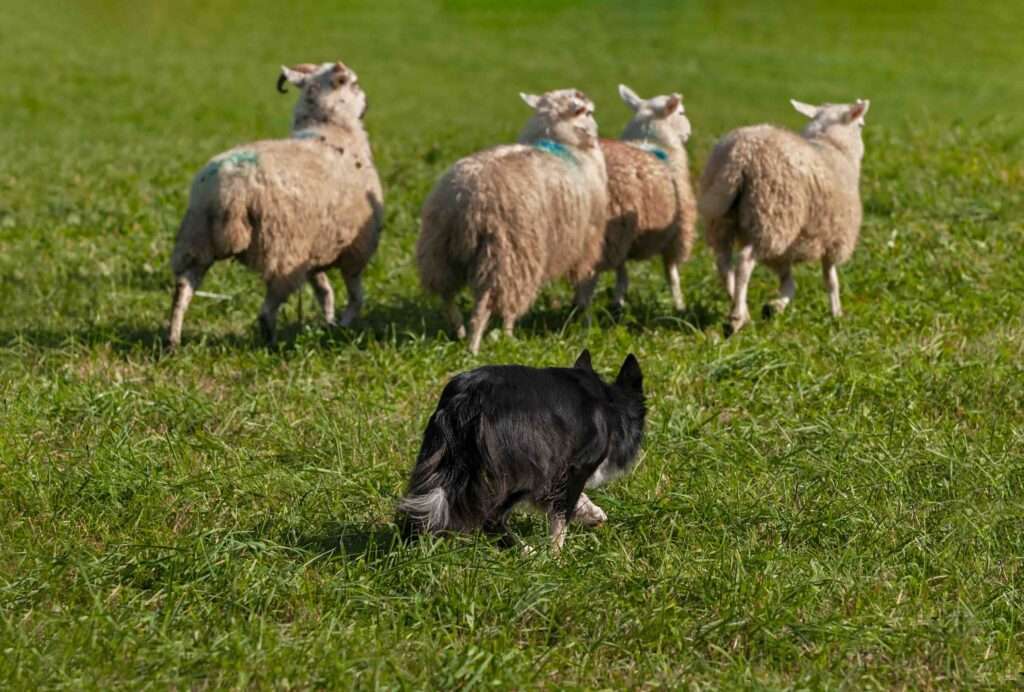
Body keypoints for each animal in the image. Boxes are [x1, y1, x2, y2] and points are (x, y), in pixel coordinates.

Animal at [167, 61, 383, 348]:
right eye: (354, 83)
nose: (368, 101)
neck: (332, 131)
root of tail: (229, 189)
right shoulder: (356, 250)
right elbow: (356, 297)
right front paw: (342, 326)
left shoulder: (313, 252)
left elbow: (324, 291)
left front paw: (328, 323)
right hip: (283, 252)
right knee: (266, 310)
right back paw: (272, 344)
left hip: (196, 240)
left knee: (182, 289)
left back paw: (173, 340)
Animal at [416, 88, 608, 354]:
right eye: (589, 112)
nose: (596, 129)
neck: (560, 141)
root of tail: (466, 198)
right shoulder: (586, 244)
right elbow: (583, 288)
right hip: (506, 255)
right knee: (489, 305)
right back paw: (478, 346)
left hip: (439, 249)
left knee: (446, 294)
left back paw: (459, 330)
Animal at [598, 85, 696, 311]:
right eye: (681, 113)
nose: (689, 132)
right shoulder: (677, 231)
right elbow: (672, 274)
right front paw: (679, 305)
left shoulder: (624, 235)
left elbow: (622, 274)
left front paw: (618, 302)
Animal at [698, 98, 870, 335]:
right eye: (861, 125)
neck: (833, 146)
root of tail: (740, 155)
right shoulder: (834, 239)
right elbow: (831, 280)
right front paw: (837, 314)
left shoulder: (784, 253)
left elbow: (790, 285)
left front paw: (773, 308)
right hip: (771, 218)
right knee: (744, 262)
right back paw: (736, 318)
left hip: (723, 219)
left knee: (723, 264)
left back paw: (742, 309)